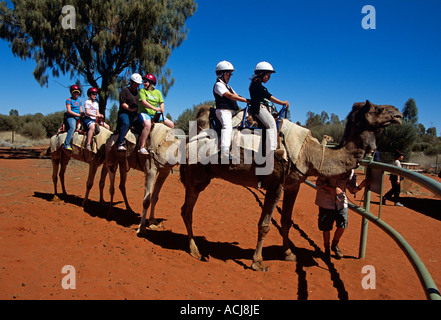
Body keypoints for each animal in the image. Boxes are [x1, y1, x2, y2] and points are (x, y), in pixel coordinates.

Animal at [180, 100, 402, 270]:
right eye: (377, 109)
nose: (398, 114)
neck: (309, 153)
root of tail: (189, 142)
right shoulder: (275, 183)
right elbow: (265, 224)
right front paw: (258, 262)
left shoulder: (293, 185)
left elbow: (286, 220)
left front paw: (288, 254)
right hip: (195, 178)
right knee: (187, 210)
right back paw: (195, 251)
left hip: (201, 179)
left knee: (186, 210)